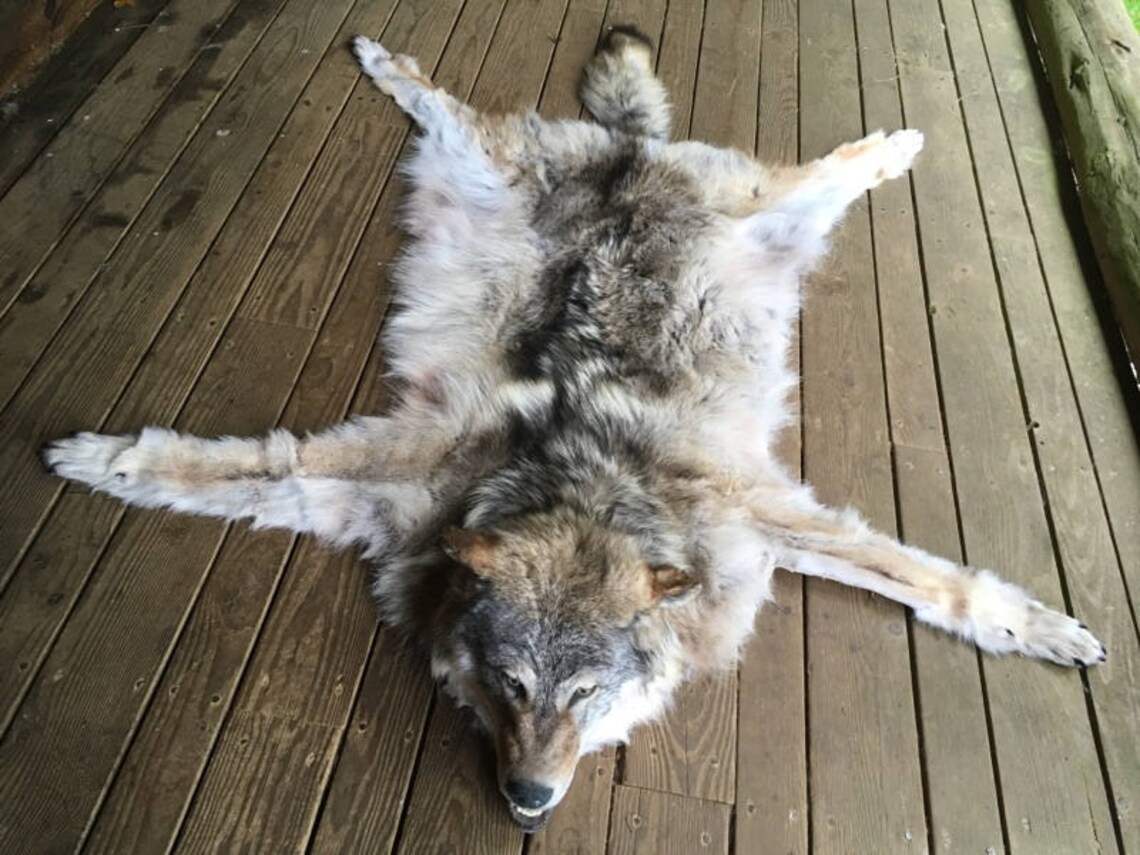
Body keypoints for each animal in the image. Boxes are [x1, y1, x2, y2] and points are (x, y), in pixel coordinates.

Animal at [42, 26, 1105, 831]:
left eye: (587, 695)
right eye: (509, 684)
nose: (527, 798)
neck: (583, 482)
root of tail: (629, 153)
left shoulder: (759, 514)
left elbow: (931, 580)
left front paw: (1037, 626)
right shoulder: (395, 477)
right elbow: (228, 468)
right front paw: (99, 458)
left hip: (767, 211)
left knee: (826, 167)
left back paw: (896, 145)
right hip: (491, 161)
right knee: (448, 103)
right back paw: (384, 58)